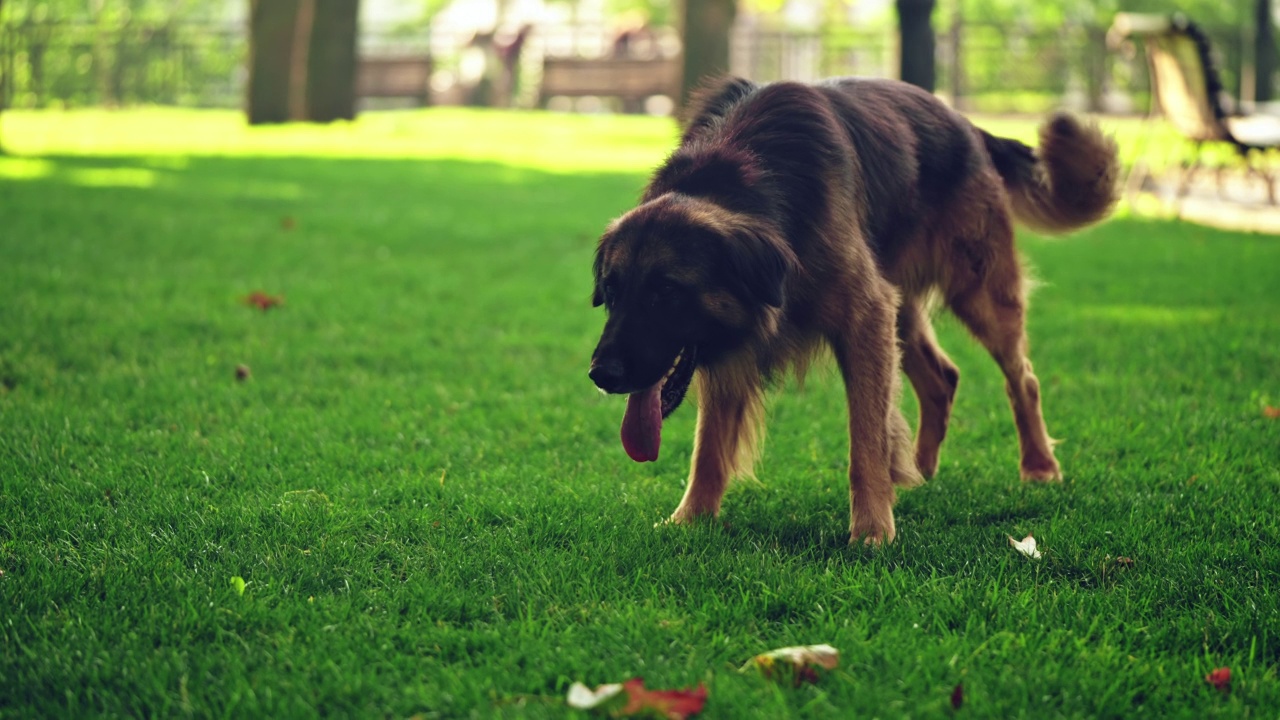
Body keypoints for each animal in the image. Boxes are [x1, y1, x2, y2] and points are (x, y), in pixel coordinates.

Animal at [586, 75, 1116, 540]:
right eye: (611, 291)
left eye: (666, 292)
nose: (601, 374)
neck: (746, 173)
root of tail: (965, 123)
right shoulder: (736, 348)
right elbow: (709, 450)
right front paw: (690, 520)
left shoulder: (864, 315)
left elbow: (866, 440)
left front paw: (872, 529)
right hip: (901, 306)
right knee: (942, 378)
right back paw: (920, 472)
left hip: (979, 292)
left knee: (1021, 378)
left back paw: (1039, 465)